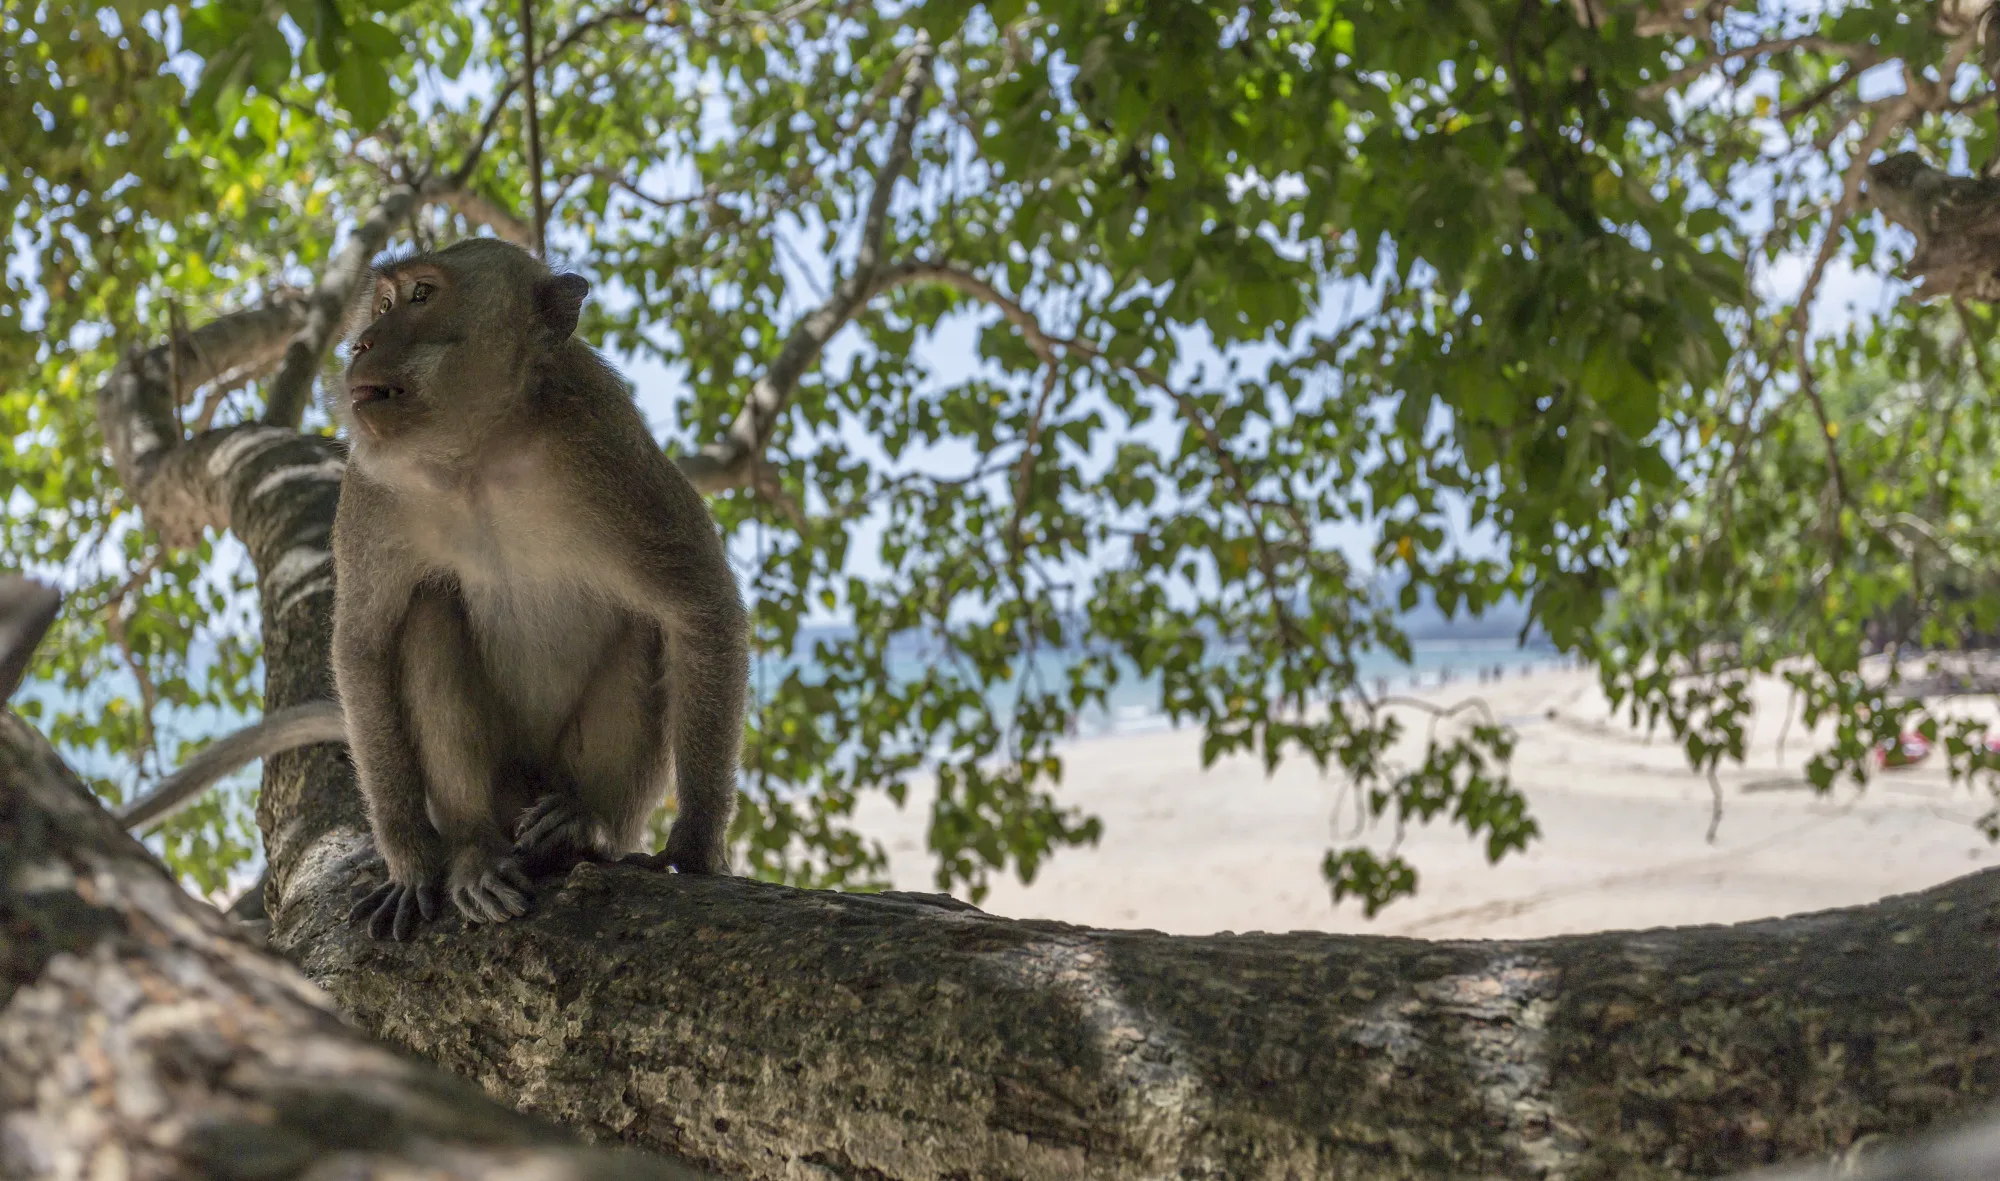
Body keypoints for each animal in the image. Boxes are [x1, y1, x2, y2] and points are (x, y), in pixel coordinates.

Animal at [329, 236, 749, 940]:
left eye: (421, 295)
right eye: (383, 304)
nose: (361, 343)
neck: (477, 452)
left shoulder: (606, 442)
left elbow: (699, 605)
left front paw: (695, 846)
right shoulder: (370, 491)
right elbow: (364, 644)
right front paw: (410, 862)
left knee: (645, 628)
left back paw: (583, 825)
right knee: (428, 613)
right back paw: (474, 851)